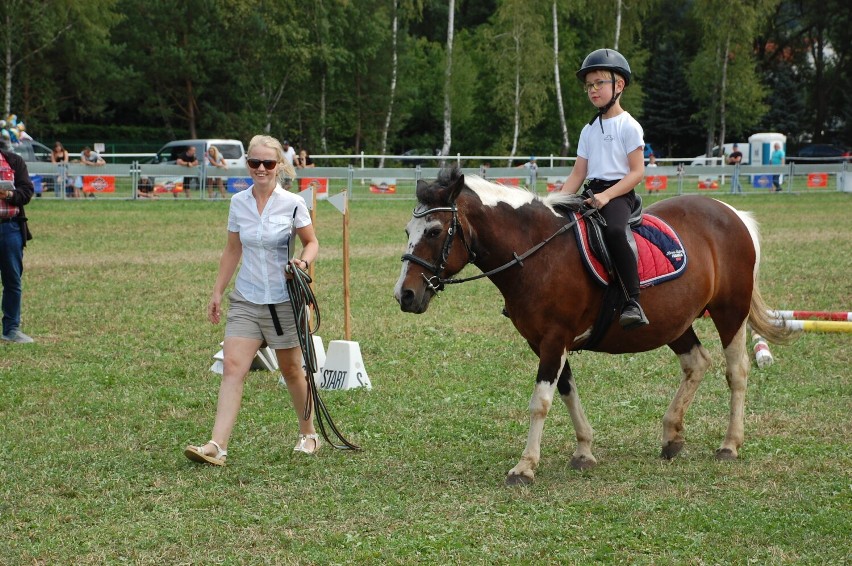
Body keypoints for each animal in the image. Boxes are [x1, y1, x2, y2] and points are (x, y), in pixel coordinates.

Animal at [392, 166, 792, 486]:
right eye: (408, 230)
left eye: (434, 231)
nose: (405, 295)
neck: (540, 255)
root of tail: (732, 213)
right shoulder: (544, 341)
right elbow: (567, 392)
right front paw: (584, 451)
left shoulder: (554, 339)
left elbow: (540, 402)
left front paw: (525, 467)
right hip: (675, 323)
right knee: (696, 363)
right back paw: (671, 436)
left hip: (730, 312)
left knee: (736, 372)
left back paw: (729, 444)